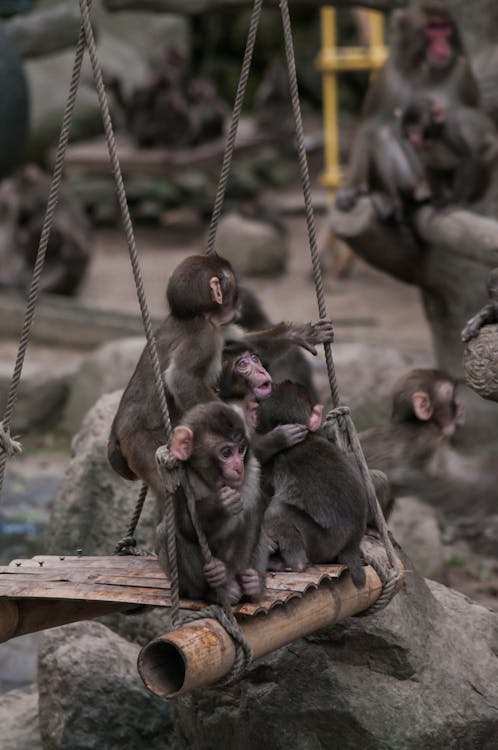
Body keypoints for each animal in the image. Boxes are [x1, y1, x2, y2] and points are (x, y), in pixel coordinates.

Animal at [255, 384, 368, 592]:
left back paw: (295, 563)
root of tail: (351, 545)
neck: (306, 438)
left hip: (323, 543)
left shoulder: (268, 467)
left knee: (277, 511)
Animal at [336, 0, 480, 220]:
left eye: (445, 28)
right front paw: (352, 187)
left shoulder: (463, 75)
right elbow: (370, 125)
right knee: (382, 135)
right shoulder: (388, 75)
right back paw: (387, 197)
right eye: (432, 29)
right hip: (408, 179)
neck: (423, 71)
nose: (443, 45)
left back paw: (428, 192)